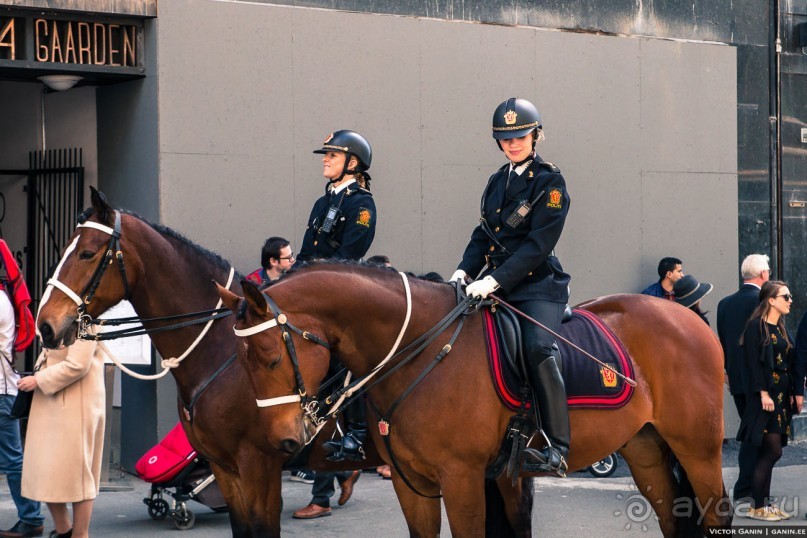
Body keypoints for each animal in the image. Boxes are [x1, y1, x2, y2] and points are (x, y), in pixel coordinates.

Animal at [218, 264, 736, 536]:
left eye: (268, 356)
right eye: (239, 360)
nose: (285, 442)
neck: (421, 350)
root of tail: (687, 316)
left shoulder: (463, 477)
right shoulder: (410, 482)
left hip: (698, 448)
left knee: (717, 511)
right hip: (645, 448)